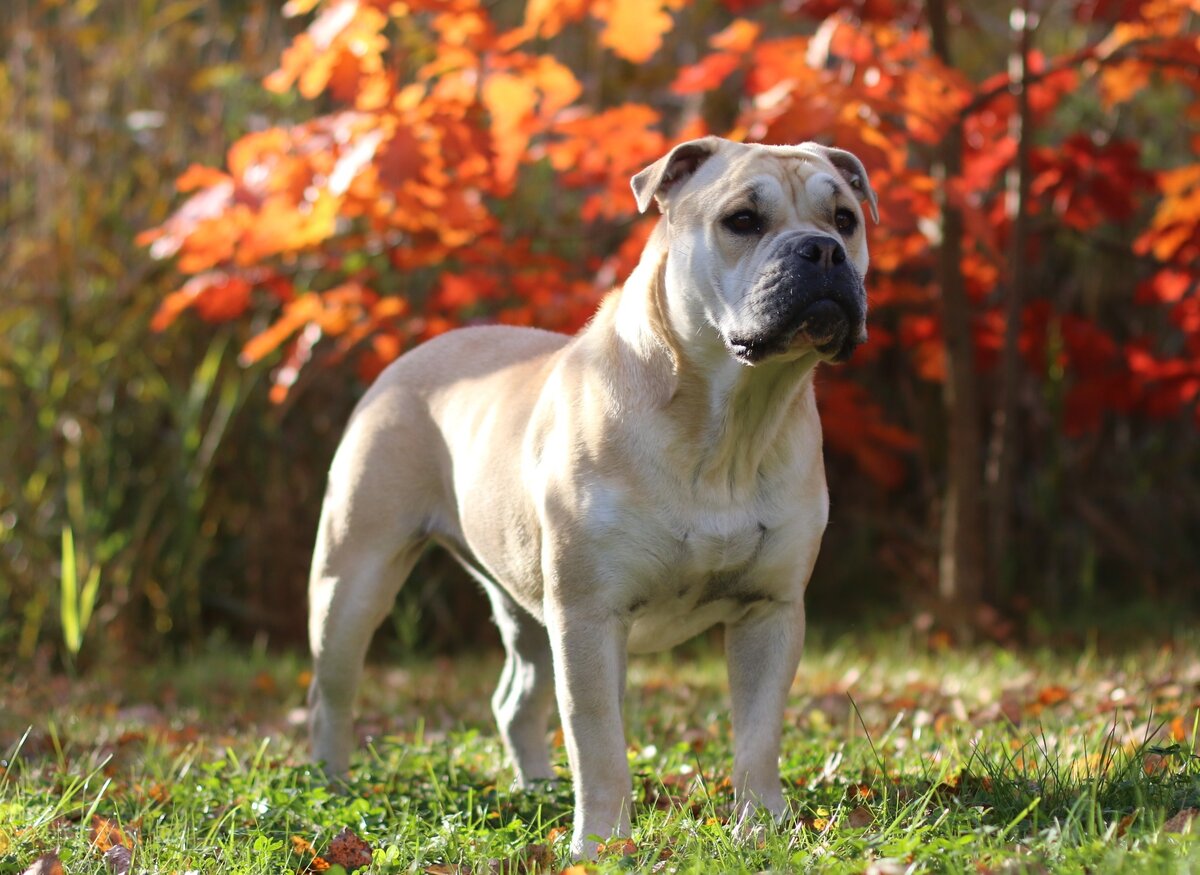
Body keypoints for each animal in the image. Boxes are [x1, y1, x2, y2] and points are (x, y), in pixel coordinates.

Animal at [304, 135, 878, 854]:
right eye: (742, 220)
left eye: (845, 219)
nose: (822, 250)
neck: (731, 418)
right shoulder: (590, 616)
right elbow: (599, 741)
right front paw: (603, 844)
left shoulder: (768, 611)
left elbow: (757, 736)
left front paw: (762, 828)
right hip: (353, 579)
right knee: (332, 691)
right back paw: (331, 786)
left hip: (525, 603)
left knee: (515, 698)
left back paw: (537, 788)